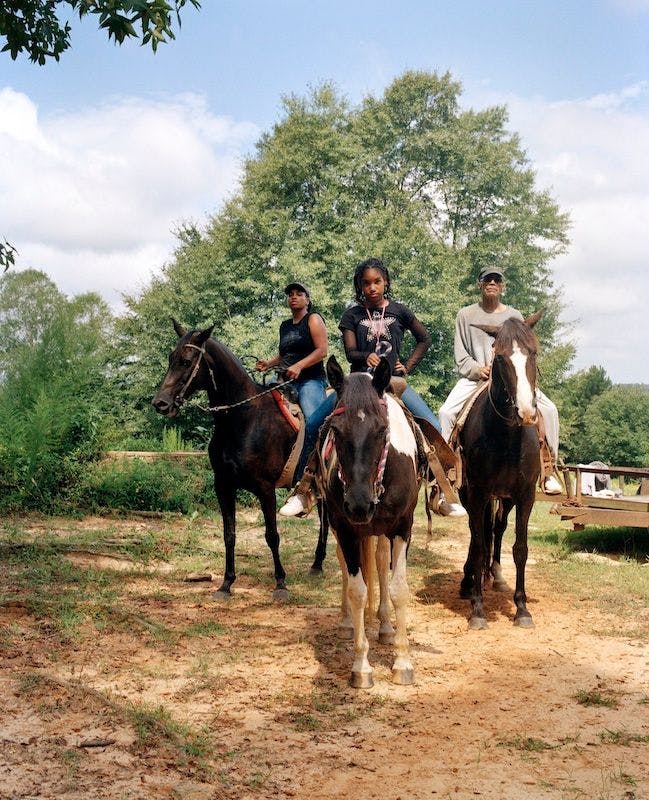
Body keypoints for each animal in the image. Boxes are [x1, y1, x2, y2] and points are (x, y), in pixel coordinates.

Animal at [153, 318, 324, 600]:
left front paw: (280, 583)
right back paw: (317, 564)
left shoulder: (265, 489)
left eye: (186, 361)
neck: (244, 419)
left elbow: (272, 535)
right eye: (170, 358)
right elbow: (229, 534)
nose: (160, 403)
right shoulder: (223, 486)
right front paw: (226, 583)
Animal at [320, 356, 420, 688]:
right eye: (336, 430)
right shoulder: (345, 528)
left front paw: (402, 662)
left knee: (378, 561)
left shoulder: (403, 527)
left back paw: (386, 627)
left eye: (381, 430)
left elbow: (398, 588)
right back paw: (348, 622)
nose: (359, 504)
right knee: (348, 565)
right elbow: (357, 591)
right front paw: (361, 667)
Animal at [458, 312, 544, 632]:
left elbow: (520, 548)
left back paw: (493, 575)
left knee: (496, 528)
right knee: (476, 534)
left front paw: (522, 609)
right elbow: (479, 543)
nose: (526, 412)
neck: (506, 437)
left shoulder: (525, 495)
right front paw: (478, 609)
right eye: (500, 357)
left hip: (504, 499)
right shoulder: (477, 492)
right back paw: (470, 581)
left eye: (533, 352)